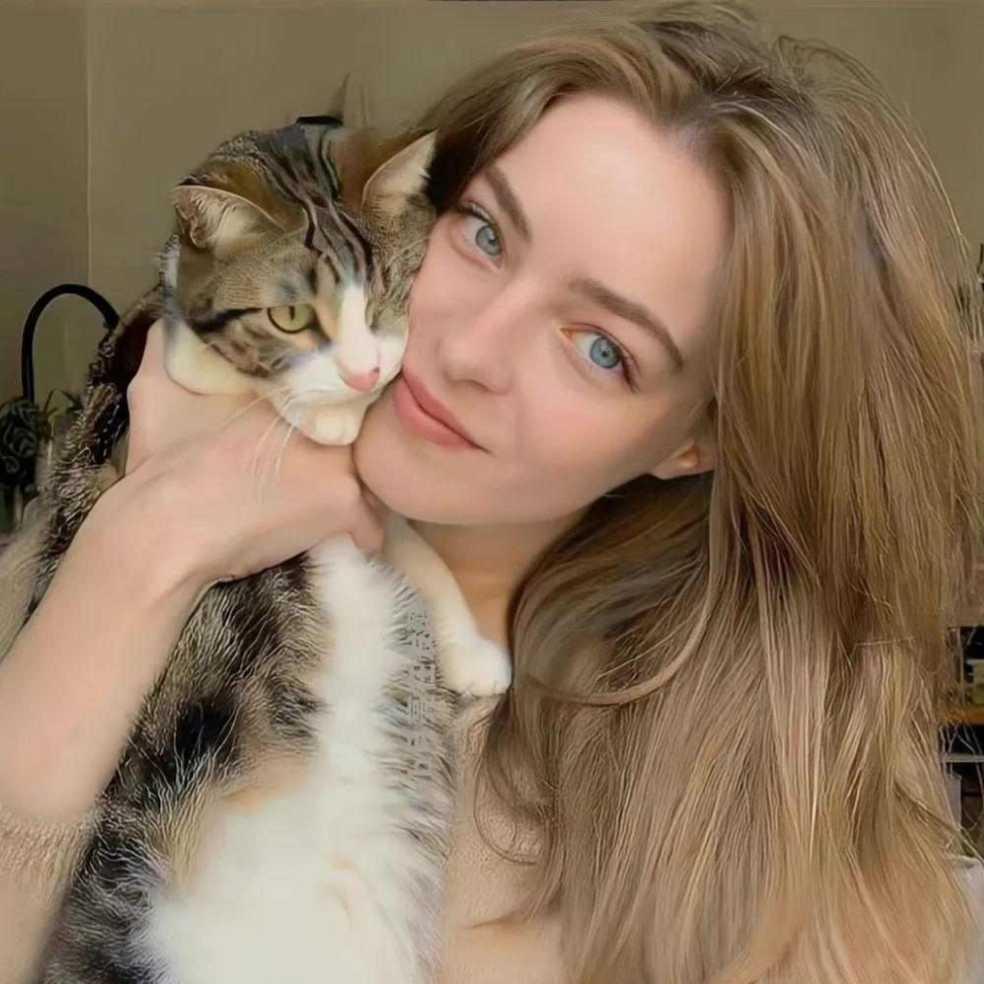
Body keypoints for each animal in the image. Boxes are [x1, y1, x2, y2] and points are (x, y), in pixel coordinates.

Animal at [29, 117, 511, 984]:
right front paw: (316, 411)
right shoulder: (147, 388)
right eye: (290, 318)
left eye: (392, 292)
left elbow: (414, 545)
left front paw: (471, 650)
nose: (366, 371)